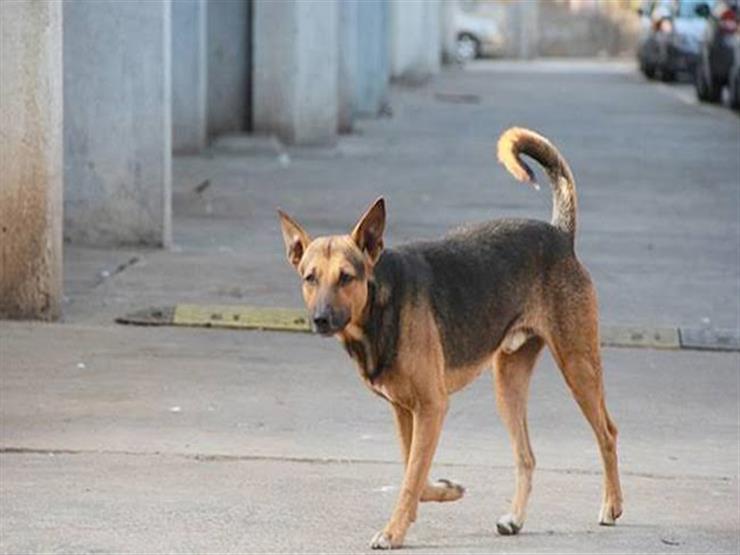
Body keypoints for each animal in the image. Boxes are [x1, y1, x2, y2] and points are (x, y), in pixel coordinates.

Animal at [278, 128, 624, 548]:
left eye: (346, 277)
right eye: (309, 278)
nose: (321, 319)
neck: (380, 307)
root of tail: (559, 235)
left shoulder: (432, 407)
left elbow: (411, 479)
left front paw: (393, 531)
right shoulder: (406, 411)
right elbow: (416, 473)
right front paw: (446, 490)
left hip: (578, 367)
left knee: (607, 433)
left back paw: (612, 505)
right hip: (507, 384)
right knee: (527, 455)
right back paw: (514, 518)